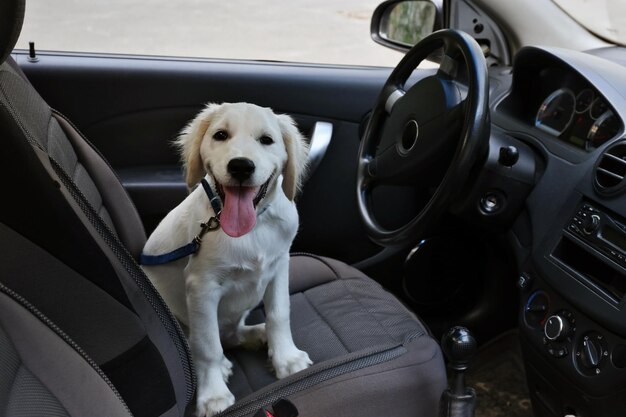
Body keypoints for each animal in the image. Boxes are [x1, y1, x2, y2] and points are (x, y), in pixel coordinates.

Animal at [139, 101, 310, 416]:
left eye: (266, 140)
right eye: (220, 135)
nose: (241, 166)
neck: (252, 228)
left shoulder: (280, 265)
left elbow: (280, 314)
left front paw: (287, 359)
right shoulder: (202, 286)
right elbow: (207, 346)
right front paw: (213, 396)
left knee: (232, 334)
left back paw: (258, 334)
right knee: (202, 343)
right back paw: (220, 366)